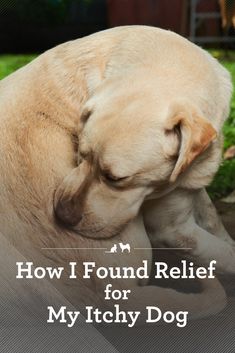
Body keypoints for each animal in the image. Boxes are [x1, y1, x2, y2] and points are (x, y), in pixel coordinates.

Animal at [0, 26, 230, 320]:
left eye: (116, 179)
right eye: (80, 153)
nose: (61, 214)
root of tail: (105, 297)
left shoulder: (188, 192)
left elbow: (214, 220)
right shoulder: (171, 230)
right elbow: (225, 254)